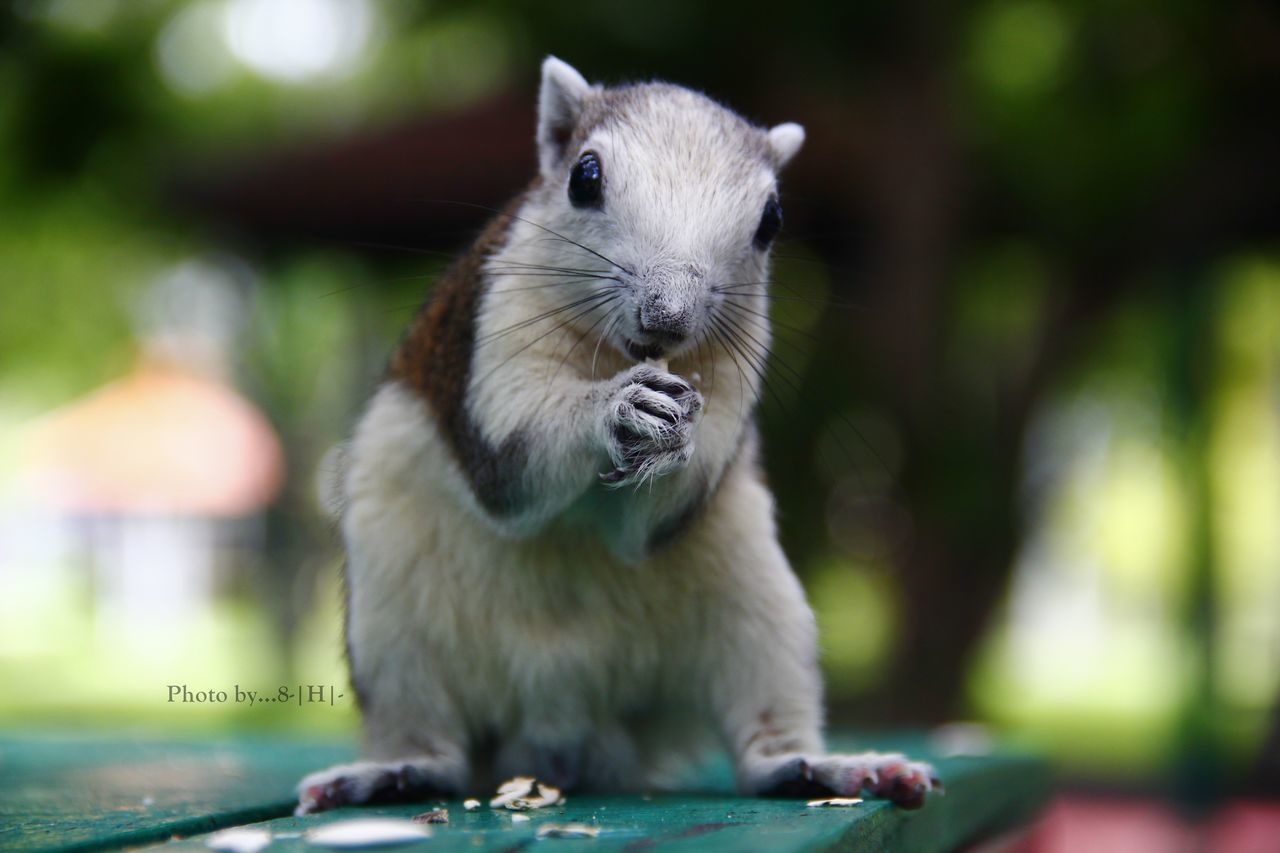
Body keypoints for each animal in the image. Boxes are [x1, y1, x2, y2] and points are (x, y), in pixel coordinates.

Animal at [299, 56, 942, 814]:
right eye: (585, 176)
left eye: (772, 219)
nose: (668, 315)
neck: (616, 353)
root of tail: (559, 736)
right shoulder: (490, 329)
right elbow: (515, 463)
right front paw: (614, 410)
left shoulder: (732, 374)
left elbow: (647, 524)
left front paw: (674, 437)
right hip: (394, 625)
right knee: (436, 743)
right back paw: (394, 772)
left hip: (762, 608)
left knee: (764, 741)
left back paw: (825, 766)